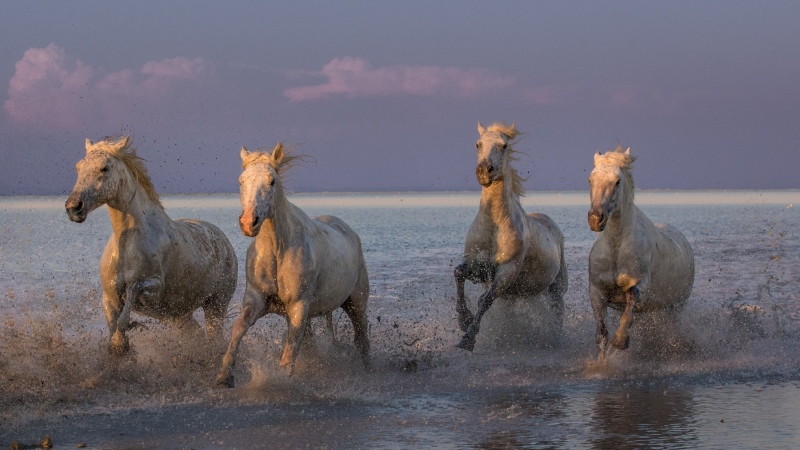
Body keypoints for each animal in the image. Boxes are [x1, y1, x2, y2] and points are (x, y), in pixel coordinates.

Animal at [65, 135, 238, 356]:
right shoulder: (109, 296)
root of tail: (224, 240)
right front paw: (119, 346)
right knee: (197, 333)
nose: (73, 208)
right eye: (78, 167)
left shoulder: (154, 289)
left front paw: (125, 337)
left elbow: (130, 298)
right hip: (179, 315)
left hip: (216, 304)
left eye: (104, 168)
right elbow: (113, 326)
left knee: (216, 338)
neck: (128, 242)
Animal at [216, 143, 372, 386]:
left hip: (356, 302)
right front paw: (224, 375)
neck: (278, 251)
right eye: (241, 180)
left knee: (362, 339)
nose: (249, 222)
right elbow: (238, 328)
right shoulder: (256, 299)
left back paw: (369, 371)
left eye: (272, 181)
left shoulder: (299, 306)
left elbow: (290, 351)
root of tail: (349, 232)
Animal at [456, 122, 568, 352]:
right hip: (514, 294)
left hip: (556, 288)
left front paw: (468, 338)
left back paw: (556, 339)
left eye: (504, 145)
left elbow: (485, 300)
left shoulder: (506, 271)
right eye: (478, 144)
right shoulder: (479, 267)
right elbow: (458, 273)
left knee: (557, 312)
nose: (484, 171)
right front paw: (463, 319)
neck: (494, 226)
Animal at [588, 147, 692, 356]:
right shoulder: (596, 292)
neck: (617, 246)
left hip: (677, 305)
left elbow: (628, 310)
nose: (595, 219)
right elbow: (601, 334)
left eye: (617, 181)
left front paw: (620, 341)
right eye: (590, 179)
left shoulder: (640, 286)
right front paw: (601, 362)